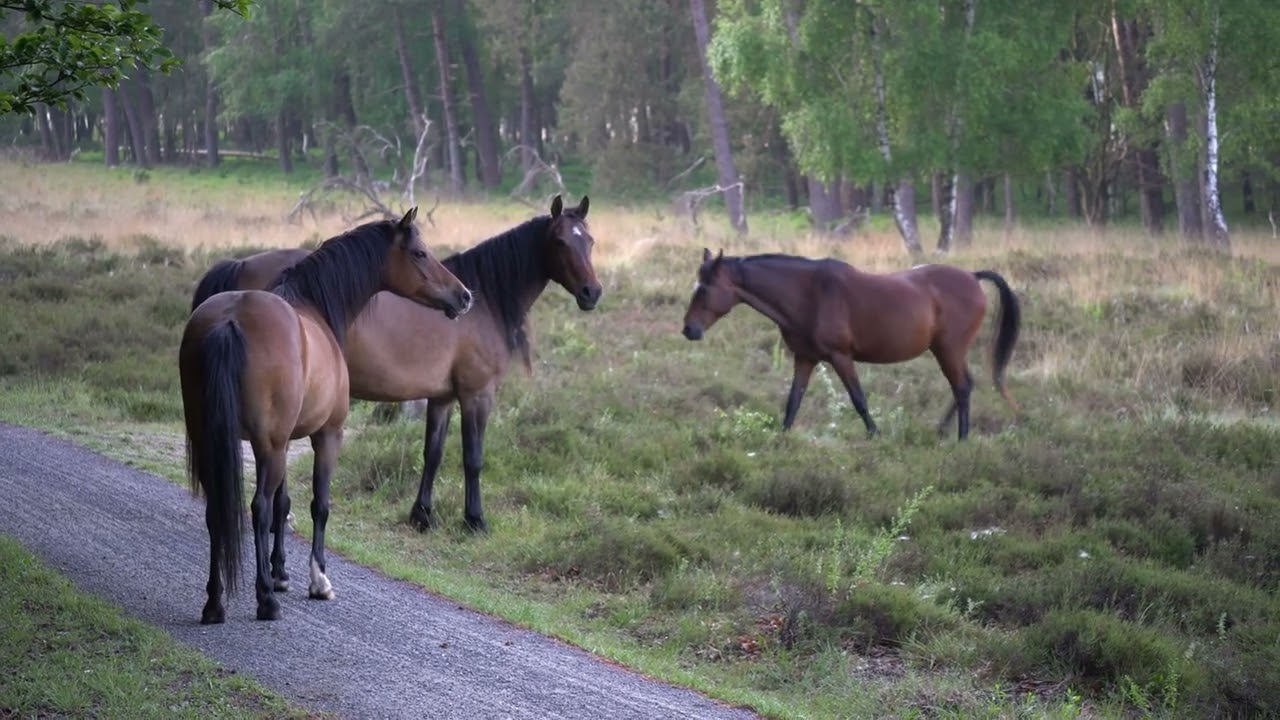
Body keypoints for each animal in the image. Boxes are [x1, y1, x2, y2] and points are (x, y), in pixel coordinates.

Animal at [180, 208, 473, 623]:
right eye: (419, 252)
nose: (463, 296)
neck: (313, 307)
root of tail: (229, 321)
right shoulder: (326, 435)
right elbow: (318, 504)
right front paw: (317, 580)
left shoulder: (285, 442)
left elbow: (284, 504)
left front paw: (281, 573)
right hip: (266, 445)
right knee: (258, 509)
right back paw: (265, 600)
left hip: (215, 440)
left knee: (218, 510)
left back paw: (215, 603)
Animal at [188, 194, 602, 532]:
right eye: (561, 241)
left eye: (590, 241)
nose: (592, 293)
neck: (488, 301)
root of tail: (241, 267)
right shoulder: (476, 394)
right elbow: (473, 457)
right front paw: (475, 520)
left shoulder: (442, 397)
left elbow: (433, 453)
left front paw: (422, 515)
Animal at [680, 249, 1020, 440]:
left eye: (705, 288)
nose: (689, 330)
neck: (810, 294)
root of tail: (972, 277)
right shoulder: (805, 358)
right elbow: (793, 401)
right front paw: (782, 437)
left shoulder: (841, 357)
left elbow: (859, 400)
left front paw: (875, 435)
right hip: (947, 351)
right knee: (965, 385)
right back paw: (943, 431)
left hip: (948, 349)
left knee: (961, 387)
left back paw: (962, 439)